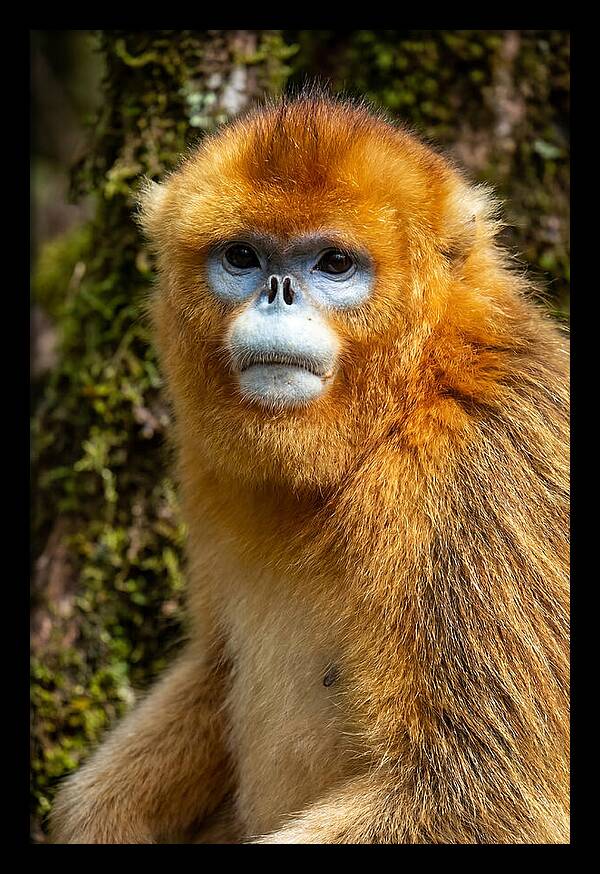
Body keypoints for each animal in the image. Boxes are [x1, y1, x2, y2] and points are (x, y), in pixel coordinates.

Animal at [49, 90, 569, 844]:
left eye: (333, 264)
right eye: (242, 256)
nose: (277, 291)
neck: (407, 403)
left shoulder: (481, 469)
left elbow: (483, 795)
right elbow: (215, 667)